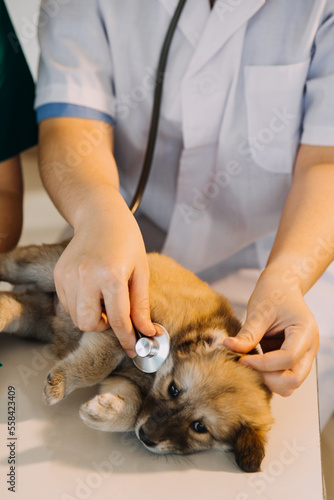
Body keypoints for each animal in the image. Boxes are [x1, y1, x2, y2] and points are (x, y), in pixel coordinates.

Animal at [0, 240, 272, 470]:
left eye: (199, 427)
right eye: (173, 389)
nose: (146, 437)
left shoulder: (125, 380)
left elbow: (132, 409)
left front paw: (103, 412)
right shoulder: (119, 324)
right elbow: (97, 363)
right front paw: (61, 382)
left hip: (35, 320)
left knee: (13, 304)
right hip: (47, 268)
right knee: (12, 262)